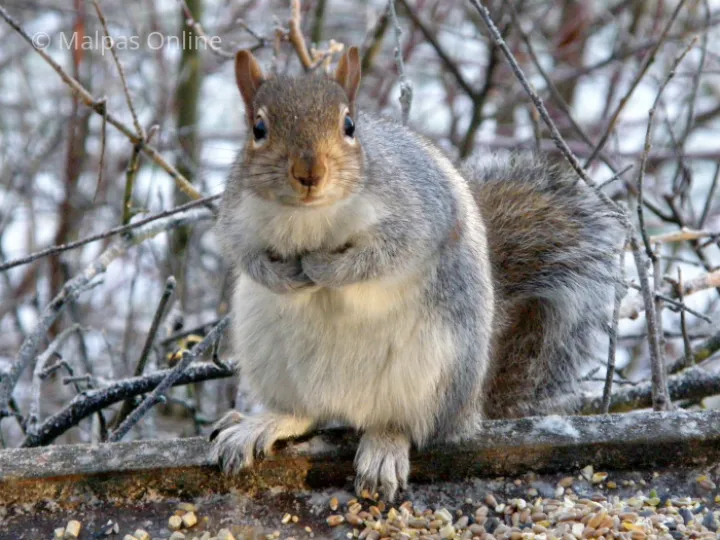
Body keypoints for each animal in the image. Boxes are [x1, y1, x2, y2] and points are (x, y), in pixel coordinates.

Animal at [209, 46, 623, 501]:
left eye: (349, 125)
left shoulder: (416, 214)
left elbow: (384, 255)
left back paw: (384, 448)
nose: (309, 174)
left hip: (436, 369)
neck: (309, 216)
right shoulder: (236, 216)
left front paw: (323, 267)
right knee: (308, 413)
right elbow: (244, 254)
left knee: (409, 425)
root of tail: (471, 408)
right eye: (258, 128)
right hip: (271, 357)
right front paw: (282, 275)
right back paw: (265, 423)